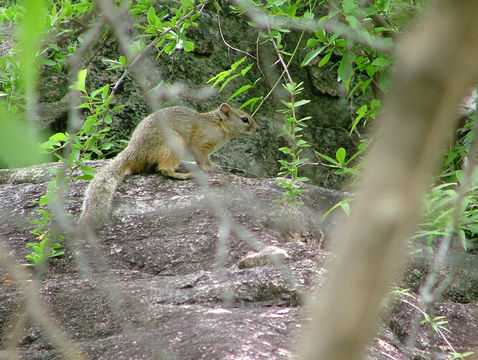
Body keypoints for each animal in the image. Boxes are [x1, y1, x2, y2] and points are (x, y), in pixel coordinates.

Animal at [79, 102, 260, 229]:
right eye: (245, 119)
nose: (258, 129)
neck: (218, 125)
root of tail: (134, 151)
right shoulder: (200, 145)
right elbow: (202, 160)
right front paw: (212, 167)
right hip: (173, 144)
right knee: (164, 170)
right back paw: (184, 174)